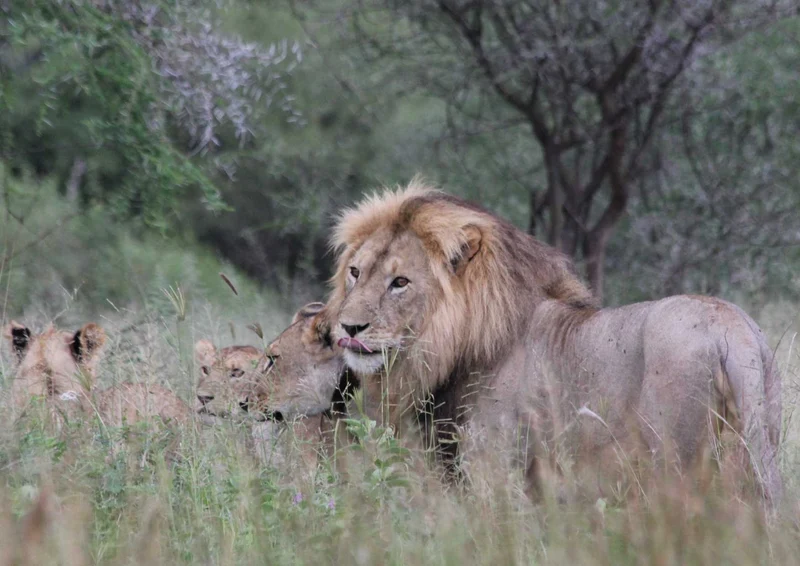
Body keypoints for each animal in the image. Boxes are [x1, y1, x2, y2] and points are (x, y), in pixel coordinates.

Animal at [320, 181, 782, 505]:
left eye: (400, 283)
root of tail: (732, 328)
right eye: (355, 272)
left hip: (676, 463)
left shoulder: (496, 468)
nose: (347, 327)